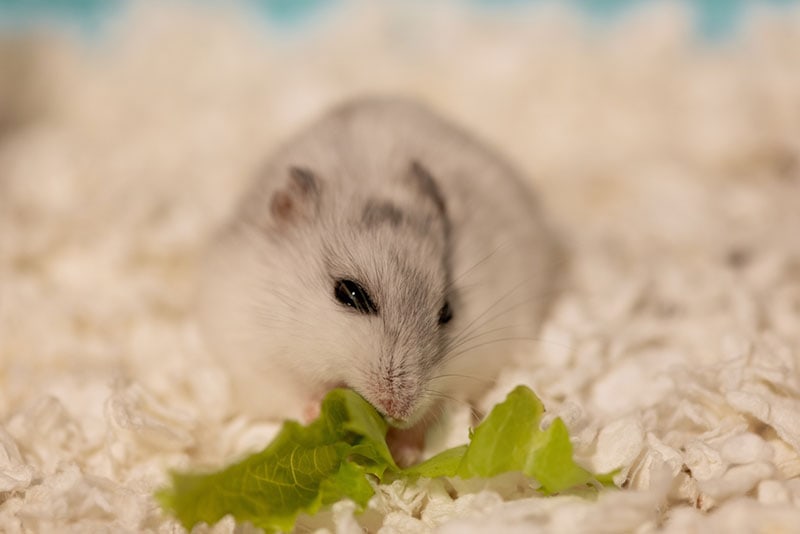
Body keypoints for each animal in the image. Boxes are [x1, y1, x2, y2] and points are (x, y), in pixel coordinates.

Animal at [199, 97, 560, 438]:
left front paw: (403, 445)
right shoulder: (253, 355)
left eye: (447, 312)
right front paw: (318, 411)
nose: (398, 410)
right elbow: (291, 394)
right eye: (349, 293)